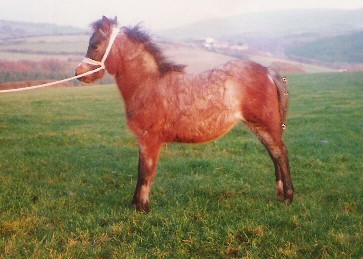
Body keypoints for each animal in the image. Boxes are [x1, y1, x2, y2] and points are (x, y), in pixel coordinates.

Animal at [75, 16, 294, 212]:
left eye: (95, 44)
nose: (79, 73)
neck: (149, 84)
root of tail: (268, 72)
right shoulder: (144, 141)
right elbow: (142, 170)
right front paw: (135, 204)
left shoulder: (150, 139)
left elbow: (145, 172)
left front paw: (141, 207)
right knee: (274, 154)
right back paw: (281, 193)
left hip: (265, 125)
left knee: (280, 153)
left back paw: (289, 197)